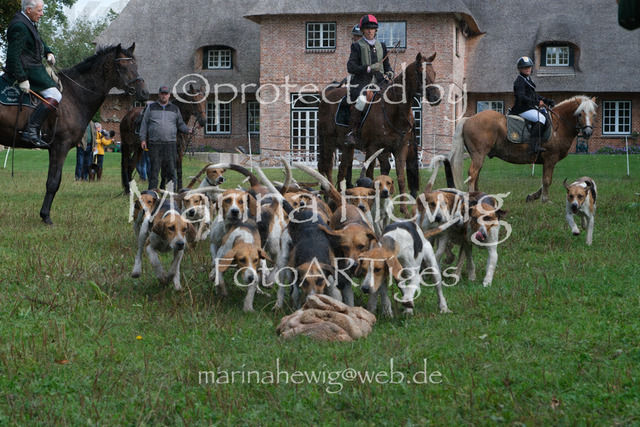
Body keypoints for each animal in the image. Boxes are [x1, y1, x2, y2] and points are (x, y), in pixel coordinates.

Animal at [0, 43, 148, 224]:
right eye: (124, 66)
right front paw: (45, 216)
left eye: (136, 65)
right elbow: (53, 182)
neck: (74, 94)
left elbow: (55, 181)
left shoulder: (54, 149)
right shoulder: (60, 147)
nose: (144, 92)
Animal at [317, 52, 442, 198]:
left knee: (341, 170)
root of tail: (328, 93)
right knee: (327, 167)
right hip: (328, 142)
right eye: (421, 74)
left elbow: (399, 177)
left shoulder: (399, 148)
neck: (393, 109)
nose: (436, 97)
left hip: (346, 146)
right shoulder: (373, 148)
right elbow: (370, 176)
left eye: (435, 73)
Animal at [448, 95, 597, 202]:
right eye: (580, 114)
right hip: (479, 154)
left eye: (594, 114)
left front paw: (533, 197)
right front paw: (545, 200)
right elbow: (547, 180)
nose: (588, 132)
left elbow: (545, 181)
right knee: (473, 174)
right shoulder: (551, 158)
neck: (558, 125)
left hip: (478, 155)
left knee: (476, 174)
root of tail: (469, 119)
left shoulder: (549, 161)